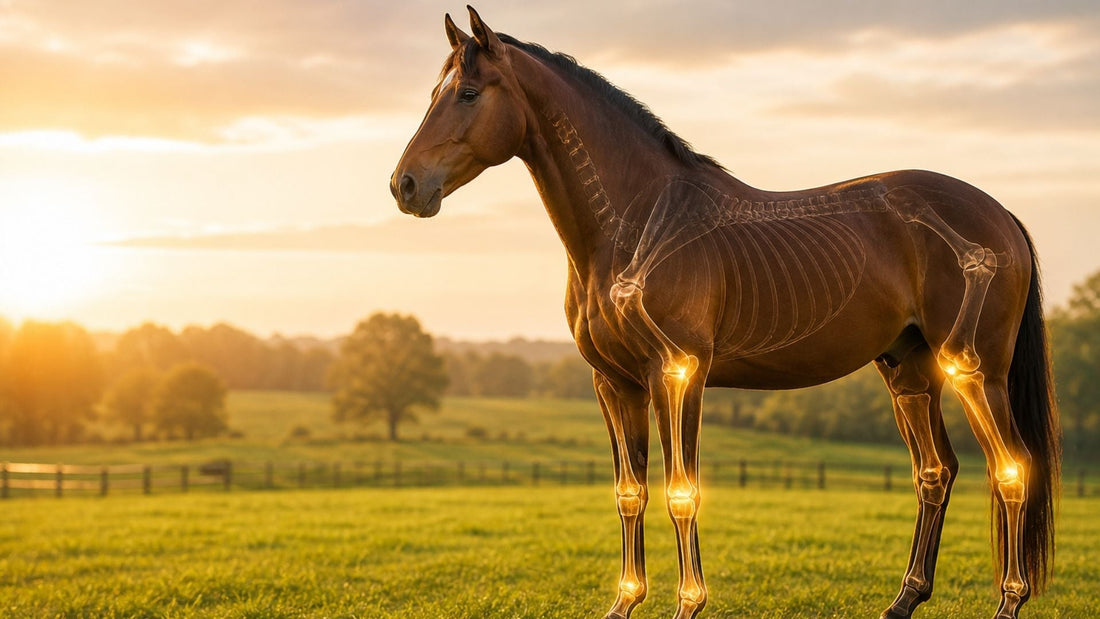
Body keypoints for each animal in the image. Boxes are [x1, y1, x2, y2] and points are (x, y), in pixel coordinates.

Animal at [390, 9, 1060, 619]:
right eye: (434, 94)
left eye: (469, 93)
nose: (405, 185)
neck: (637, 222)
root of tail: (1000, 214)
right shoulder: (614, 383)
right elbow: (629, 492)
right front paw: (624, 602)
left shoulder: (678, 372)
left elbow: (682, 492)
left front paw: (689, 605)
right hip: (910, 373)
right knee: (936, 472)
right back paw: (904, 600)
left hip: (973, 368)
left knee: (1012, 468)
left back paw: (1009, 601)